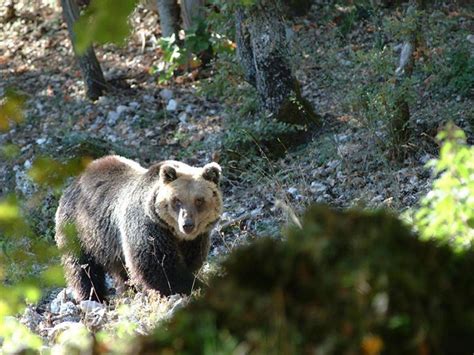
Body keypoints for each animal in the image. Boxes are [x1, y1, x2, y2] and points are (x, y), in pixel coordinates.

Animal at [54, 156, 222, 304]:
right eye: (177, 200)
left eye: (199, 200)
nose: (187, 224)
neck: (175, 233)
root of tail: (74, 181)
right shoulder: (147, 227)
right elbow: (159, 267)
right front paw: (194, 287)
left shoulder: (196, 239)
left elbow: (191, 261)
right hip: (79, 230)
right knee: (82, 267)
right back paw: (94, 297)